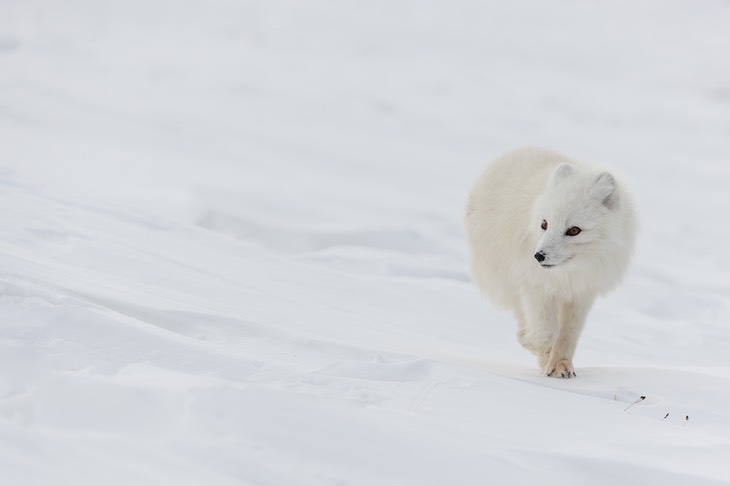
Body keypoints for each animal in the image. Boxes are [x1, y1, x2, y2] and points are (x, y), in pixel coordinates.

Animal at [464, 146, 636, 378]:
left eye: (574, 230)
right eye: (544, 224)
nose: (539, 256)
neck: (569, 273)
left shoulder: (582, 293)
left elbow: (568, 335)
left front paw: (561, 364)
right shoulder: (535, 286)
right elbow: (545, 333)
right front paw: (532, 345)